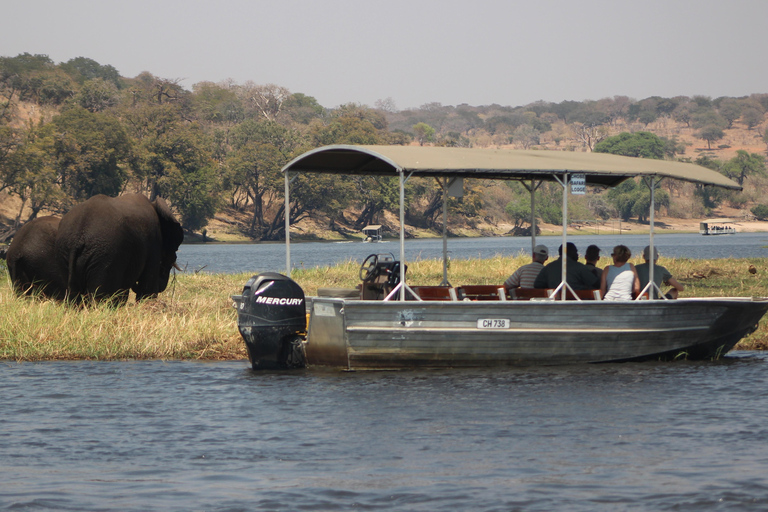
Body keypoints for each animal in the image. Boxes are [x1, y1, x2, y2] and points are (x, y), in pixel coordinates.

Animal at [55, 194, 184, 302]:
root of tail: (78, 236)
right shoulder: (154, 242)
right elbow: (147, 288)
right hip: (104, 255)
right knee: (99, 297)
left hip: (65, 252)